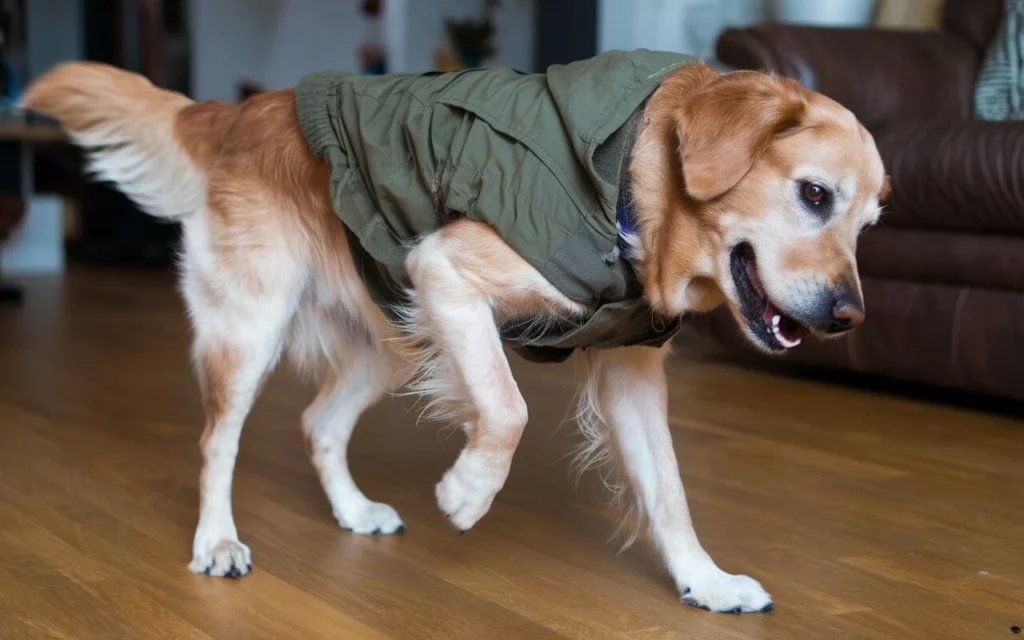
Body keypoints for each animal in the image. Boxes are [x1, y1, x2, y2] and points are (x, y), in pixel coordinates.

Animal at [24, 51, 888, 614]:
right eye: (815, 194)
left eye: (870, 225)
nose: (851, 317)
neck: (631, 191)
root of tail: (240, 109)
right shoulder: (446, 271)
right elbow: (507, 409)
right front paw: (468, 491)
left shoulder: (630, 371)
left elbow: (669, 490)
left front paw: (703, 581)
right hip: (254, 328)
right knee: (217, 441)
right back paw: (216, 542)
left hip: (391, 335)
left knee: (317, 421)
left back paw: (353, 511)